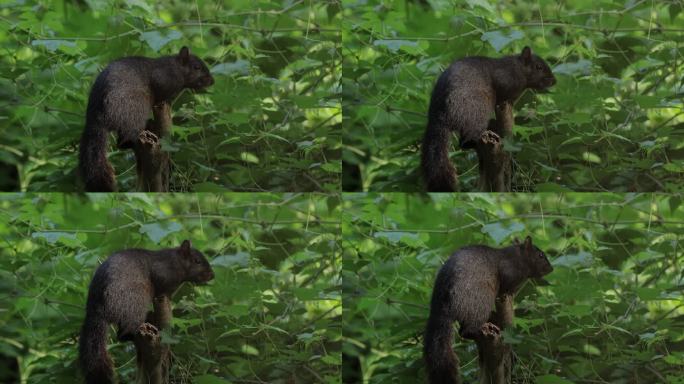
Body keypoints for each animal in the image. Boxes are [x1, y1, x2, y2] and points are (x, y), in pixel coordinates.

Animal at [77, 238, 214, 382]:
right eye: (197, 261)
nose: (212, 275)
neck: (175, 261)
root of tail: (99, 308)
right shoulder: (162, 275)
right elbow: (162, 291)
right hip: (136, 304)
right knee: (123, 333)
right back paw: (131, 335)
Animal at [79, 46, 214, 192]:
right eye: (196, 67)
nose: (212, 81)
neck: (175, 67)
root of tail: (98, 116)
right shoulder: (162, 80)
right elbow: (162, 96)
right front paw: (166, 102)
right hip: (135, 110)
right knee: (124, 140)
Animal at [422, 47, 556, 191]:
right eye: (539, 67)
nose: (554, 81)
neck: (517, 67)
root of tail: (441, 116)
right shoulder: (504, 79)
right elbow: (503, 96)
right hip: (478, 111)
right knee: (465, 140)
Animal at [424, 236, 552, 382]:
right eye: (540, 255)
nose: (551, 268)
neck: (517, 257)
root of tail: (445, 305)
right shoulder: (508, 272)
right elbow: (505, 288)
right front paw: (509, 294)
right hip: (480, 304)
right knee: (465, 331)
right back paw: (482, 328)